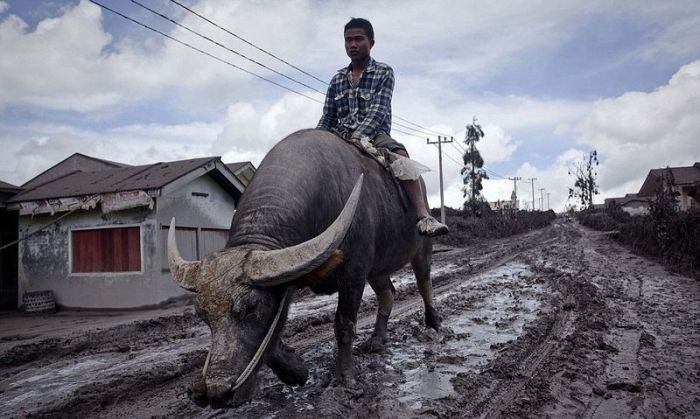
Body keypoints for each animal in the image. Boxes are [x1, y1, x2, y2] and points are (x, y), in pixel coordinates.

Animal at [170, 128, 440, 406]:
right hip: (377, 269)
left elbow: (344, 323)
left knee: (424, 283)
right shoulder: (288, 270)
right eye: (202, 315)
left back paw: (432, 324)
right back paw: (376, 340)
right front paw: (296, 371)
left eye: (251, 307)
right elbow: (272, 337)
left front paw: (344, 380)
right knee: (388, 293)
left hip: (421, 250)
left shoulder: (354, 270)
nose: (216, 392)